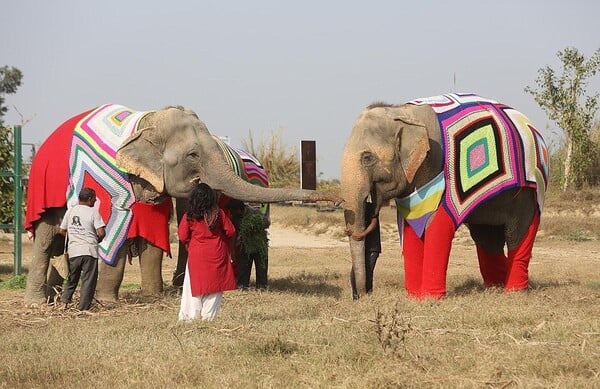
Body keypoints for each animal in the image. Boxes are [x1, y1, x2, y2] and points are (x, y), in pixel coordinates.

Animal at [24, 104, 338, 306]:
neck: (148, 119)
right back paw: (38, 303)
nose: (337, 199)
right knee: (46, 237)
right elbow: (114, 228)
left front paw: (153, 298)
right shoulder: (110, 176)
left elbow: (153, 234)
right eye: (193, 155)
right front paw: (108, 303)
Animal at [342, 92, 548, 298]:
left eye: (367, 158)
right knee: (486, 237)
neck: (403, 112)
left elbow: (438, 223)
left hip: (530, 192)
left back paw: (514, 291)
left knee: (517, 232)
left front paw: (429, 298)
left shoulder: (441, 174)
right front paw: (414, 297)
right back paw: (495, 287)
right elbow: (410, 228)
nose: (363, 294)